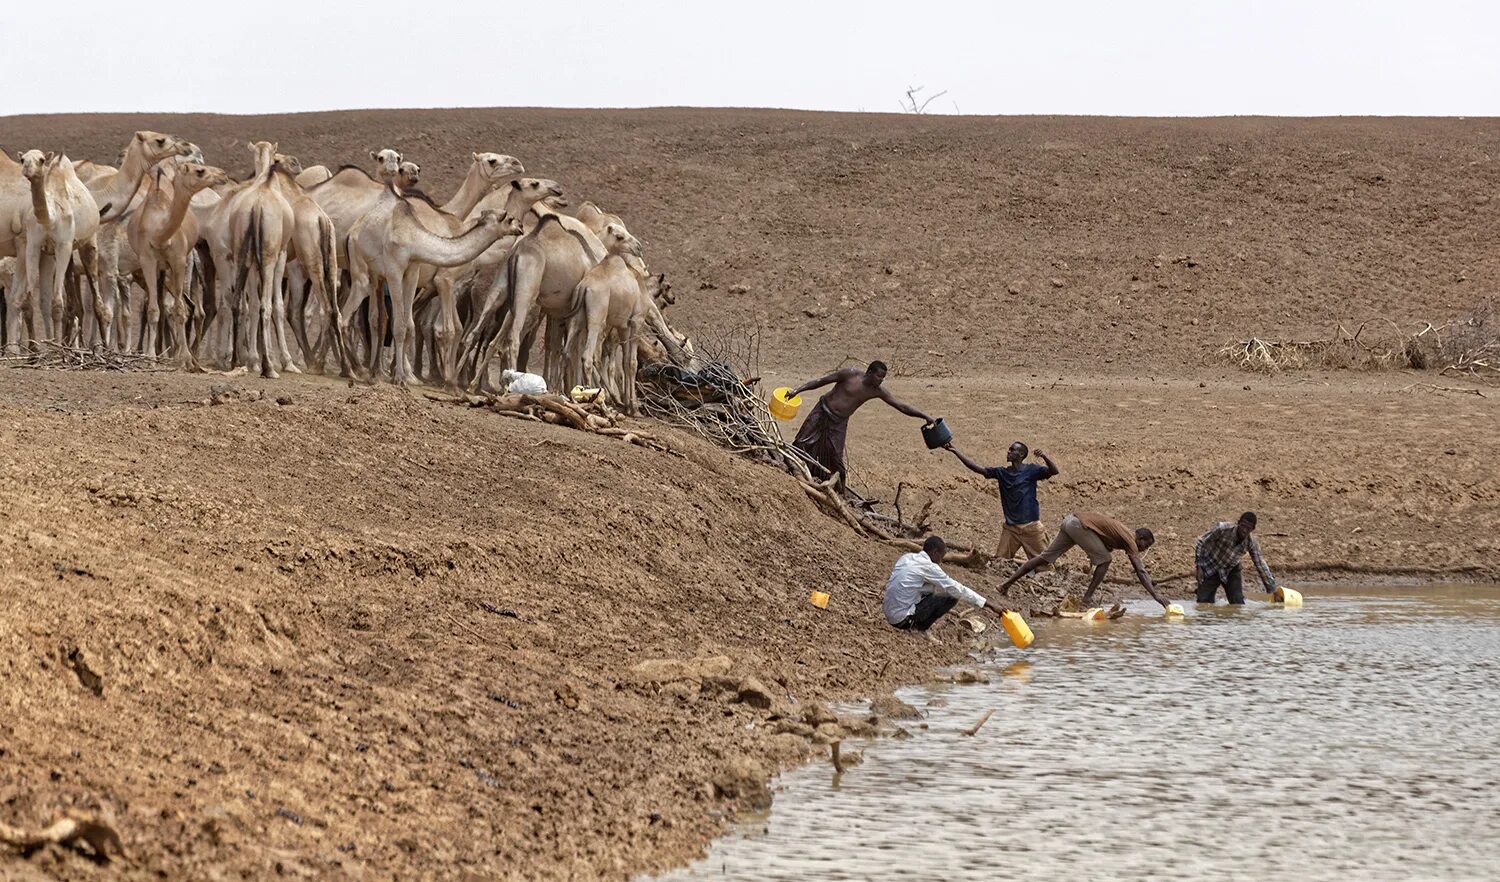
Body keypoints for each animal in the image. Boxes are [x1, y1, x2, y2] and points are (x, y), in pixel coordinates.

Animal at [124, 161, 228, 361]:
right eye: (200, 171)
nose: (223, 174)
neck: (160, 234)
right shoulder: (147, 260)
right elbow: (152, 309)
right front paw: (150, 354)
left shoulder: (179, 260)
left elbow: (180, 309)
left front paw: (184, 357)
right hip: (165, 269)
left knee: (189, 307)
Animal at [343, 185, 519, 387]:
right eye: (509, 219)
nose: (521, 227)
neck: (414, 238)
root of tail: (351, 231)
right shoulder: (395, 271)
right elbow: (401, 325)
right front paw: (401, 377)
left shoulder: (412, 271)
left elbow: (407, 324)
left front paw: (403, 375)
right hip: (359, 265)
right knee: (345, 315)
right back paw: (352, 369)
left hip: (376, 277)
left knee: (374, 317)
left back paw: (373, 372)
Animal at [564, 250, 672, 411]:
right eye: (668, 286)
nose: (673, 299)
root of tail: (584, 287)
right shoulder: (636, 321)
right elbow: (631, 363)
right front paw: (634, 407)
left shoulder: (623, 327)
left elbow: (625, 363)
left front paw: (628, 404)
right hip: (597, 319)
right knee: (588, 357)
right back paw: (595, 399)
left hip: (577, 318)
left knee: (568, 351)